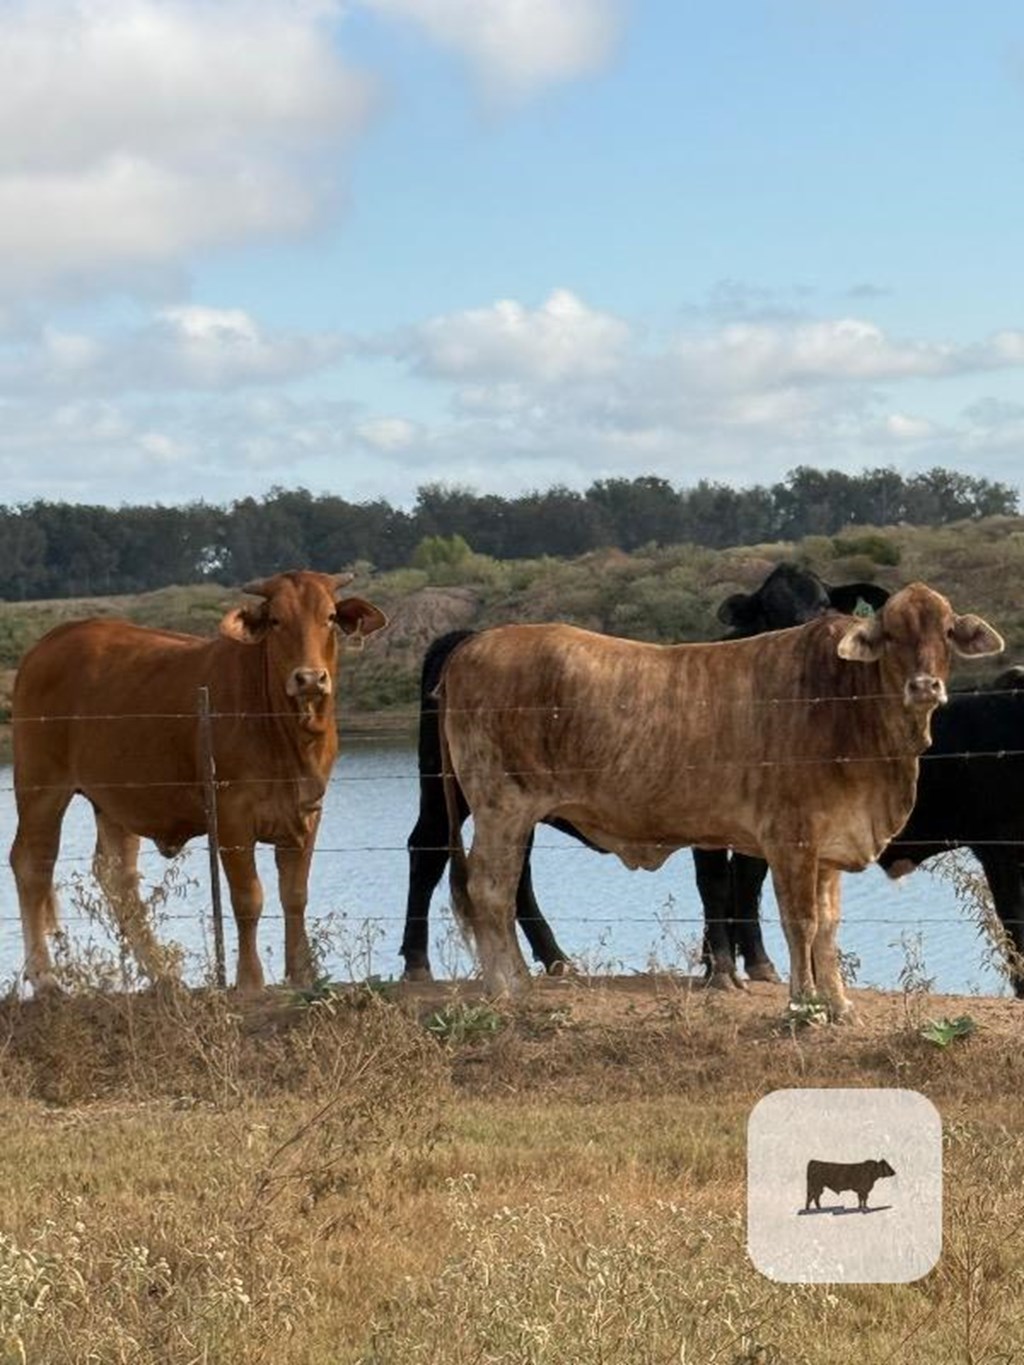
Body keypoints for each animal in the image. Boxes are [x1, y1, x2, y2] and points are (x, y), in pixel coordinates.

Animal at [10, 570, 387, 999]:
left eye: (329, 617)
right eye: (276, 620)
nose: (309, 678)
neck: (287, 735)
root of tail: (52, 640)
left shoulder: (307, 812)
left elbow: (294, 896)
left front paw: (302, 975)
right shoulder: (231, 815)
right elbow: (248, 898)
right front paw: (250, 981)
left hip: (116, 798)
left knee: (116, 876)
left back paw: (162, 975)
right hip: (41, 785)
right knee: (33, 863)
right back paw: (45, 978)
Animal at [401, 565, 890, 982]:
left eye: (824, 602)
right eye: (769, 612)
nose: (806, 641)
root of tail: (468, 638)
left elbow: (749, 882)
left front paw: (757, 962)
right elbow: (715, 884)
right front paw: (720, 967)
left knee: (516, 873)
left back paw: (555, 959)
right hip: (450, 790)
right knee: (430, 850)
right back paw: (418, 963)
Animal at [439, 581, 1004, 1021]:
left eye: (946, 632)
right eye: (891, 635)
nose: (925, 685)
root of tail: (474, 644)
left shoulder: (830, 843)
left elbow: (828, 925)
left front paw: (839, 1004)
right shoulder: (790, 840)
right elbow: (801, 921)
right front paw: (804, 1005)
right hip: (503, 808)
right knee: (492, 889)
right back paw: (511, 987)